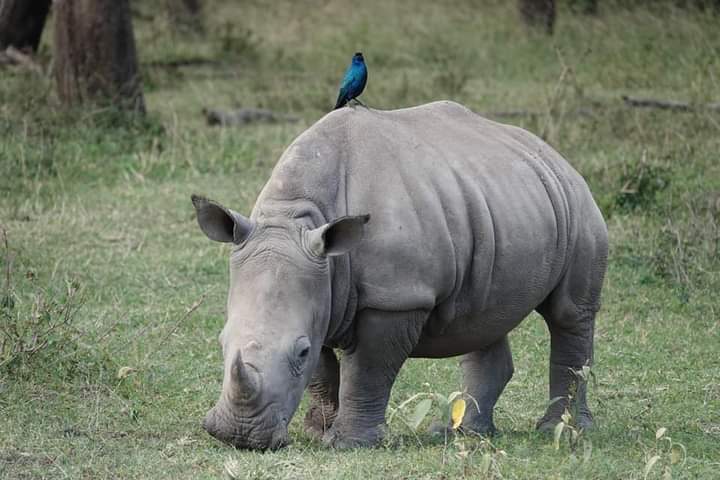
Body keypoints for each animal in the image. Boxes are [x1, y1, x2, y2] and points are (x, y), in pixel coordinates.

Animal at [191, 101, 608, 450]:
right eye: (221, 341)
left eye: (300, 350)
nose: (239, 436)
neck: (297, 217)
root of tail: (552, 153)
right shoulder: (318, 288)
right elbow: (322, 373)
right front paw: (318, 431)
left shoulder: (395, 297)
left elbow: (368, 370)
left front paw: (349, 443)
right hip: (498, 200)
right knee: (485, 318)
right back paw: (461, 434)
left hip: (579, 205)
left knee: (569, 314)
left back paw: (560, 431)